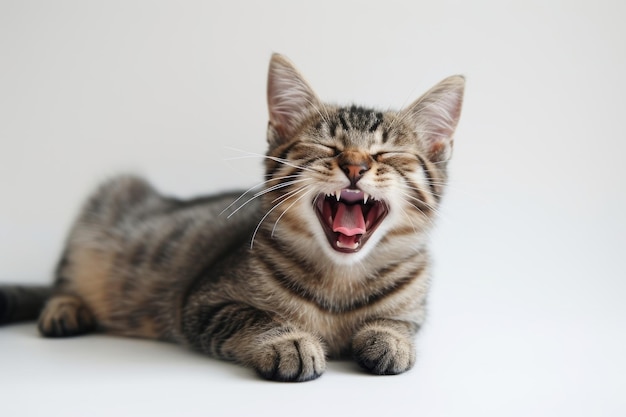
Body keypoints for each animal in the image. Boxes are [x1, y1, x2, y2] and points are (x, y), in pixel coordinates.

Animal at [1, 54, 464, 380]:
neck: (340, 280)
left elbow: (397, 322)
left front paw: (390, 340)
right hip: (109, 198)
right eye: (326, 148)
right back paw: (65, 308)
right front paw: (290, 342)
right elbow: (255, 317)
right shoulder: (204, 303)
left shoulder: (414, 308)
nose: (355, 165)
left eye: (388, 154)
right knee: (61, 282)